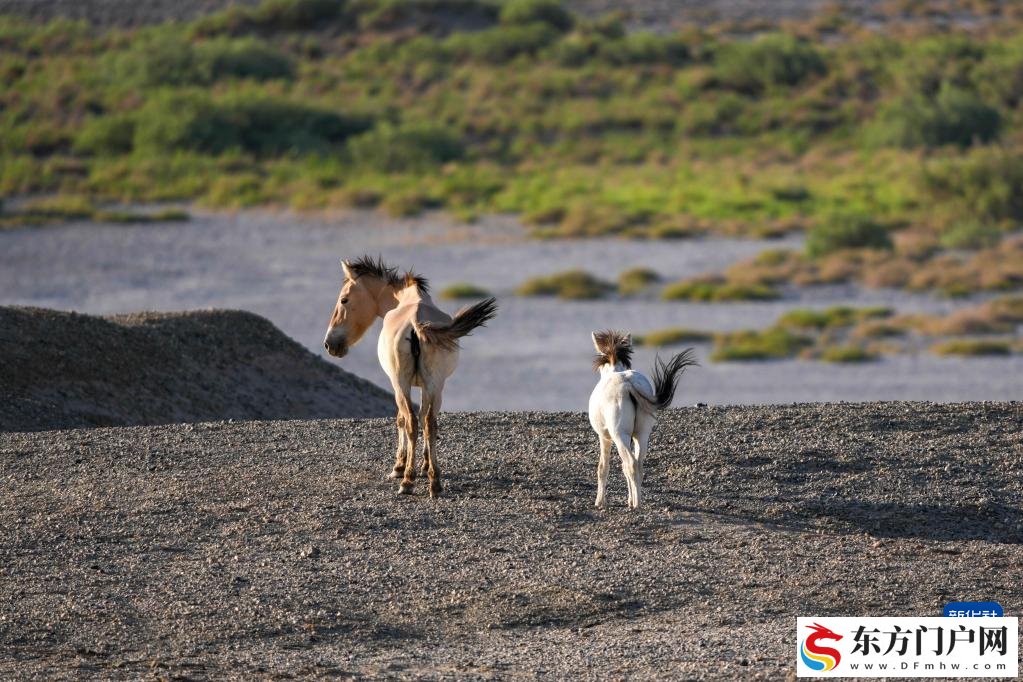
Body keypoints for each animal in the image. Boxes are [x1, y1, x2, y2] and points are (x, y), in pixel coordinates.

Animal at [323, 256, 497, 498]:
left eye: (344, 300)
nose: (330, 344)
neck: (406, 298)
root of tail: (416, 324)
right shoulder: (427, 387)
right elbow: (424, 417)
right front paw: (425, 466)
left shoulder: (397, 385)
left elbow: (401, 419)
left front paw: (399, 466)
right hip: (436, 386)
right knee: (429, 423)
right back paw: (435, 482)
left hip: (402, 384)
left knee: (412, 422)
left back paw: (407, 480)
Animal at [588, 330, 696, 509]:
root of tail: (628, 384)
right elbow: (623, 468)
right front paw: (629, 498)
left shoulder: (605, 437)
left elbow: (603, 467)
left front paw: (600, 502)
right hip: (642, 434)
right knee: (638, 464)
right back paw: (636, 500)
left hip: (620, 435)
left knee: (631, 464)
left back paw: (637, 505)